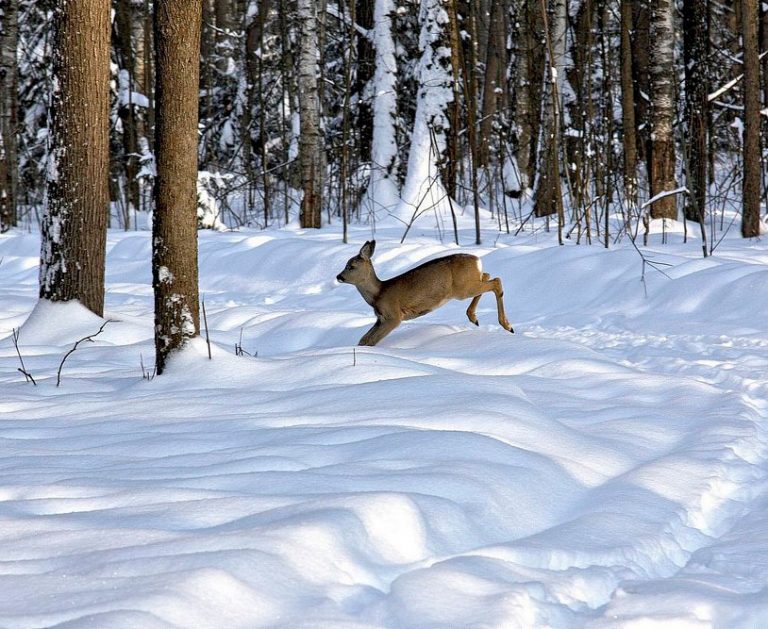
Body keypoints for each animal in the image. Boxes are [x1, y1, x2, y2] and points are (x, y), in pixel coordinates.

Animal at [338, 240, 512, 348]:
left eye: (351, 266)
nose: (339, 276)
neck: (378, 294)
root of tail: (477, 260)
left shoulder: (393, 315)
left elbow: (372, 340)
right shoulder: (379, 319)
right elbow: (364, 339)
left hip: (463, 289)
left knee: (496, 281)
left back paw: (507, 325)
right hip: (469, 283)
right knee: (488, 275)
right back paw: (474, 318)